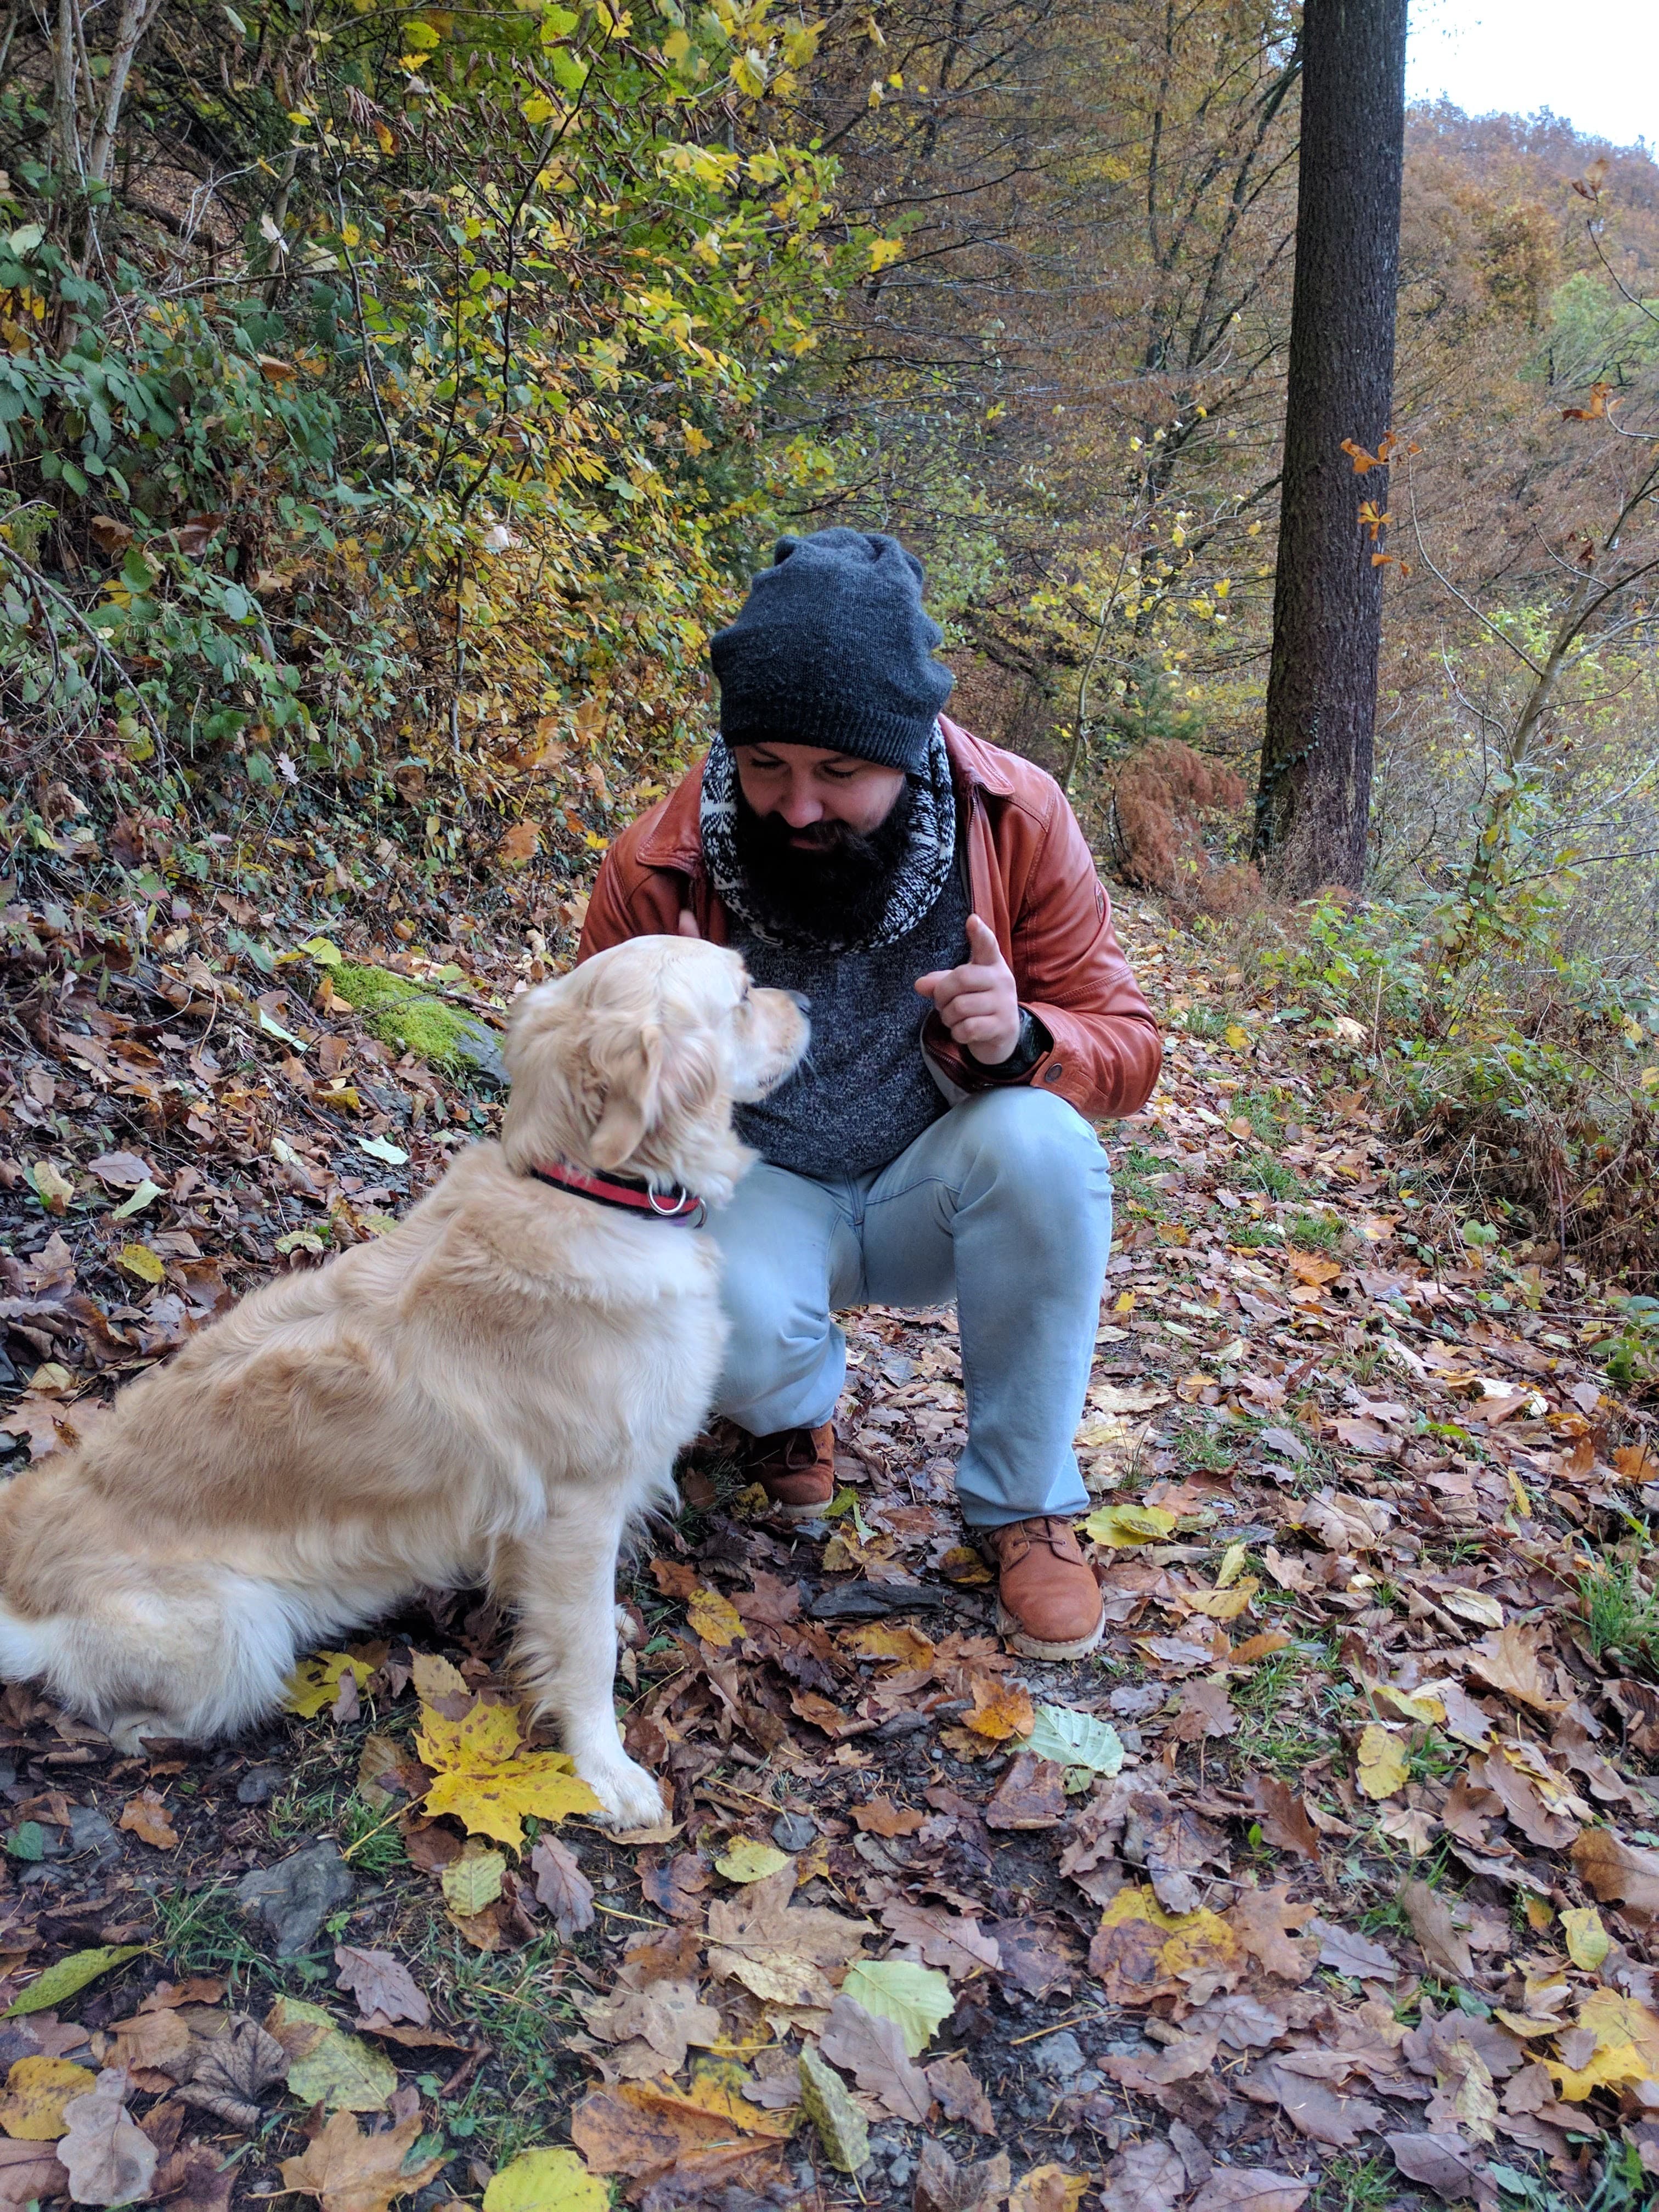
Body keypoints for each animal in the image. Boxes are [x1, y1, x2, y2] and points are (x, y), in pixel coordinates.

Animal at [0, 942, 814, 1822]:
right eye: (743, 994)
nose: (808, 1002)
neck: (590, 1191)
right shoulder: (578, 1505)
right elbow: (586, 1646)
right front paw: (605, 1768)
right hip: (241, 1629)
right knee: (125, 1719)